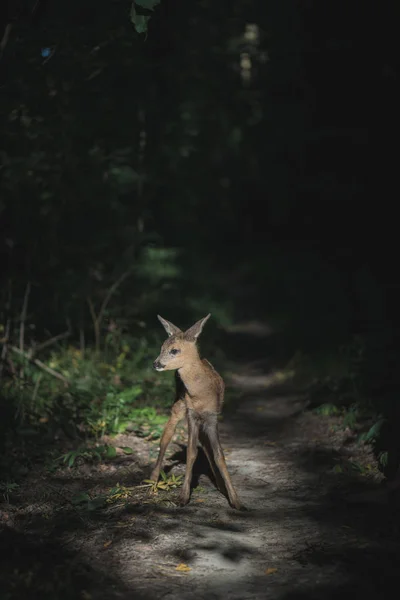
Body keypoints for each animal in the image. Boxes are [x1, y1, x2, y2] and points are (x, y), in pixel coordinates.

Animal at [151, 314, 242, 510]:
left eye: (174, 350)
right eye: (161, 347)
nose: (156, 364)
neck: (201, 393)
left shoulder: (212, 417)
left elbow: (219, 455)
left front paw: (236, 500)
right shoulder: (191, 415)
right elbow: (191, 453)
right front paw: (183, 497)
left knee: (205, 445)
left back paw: (220, 484)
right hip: (178, 406)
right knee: (165, 437)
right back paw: (153, 477)